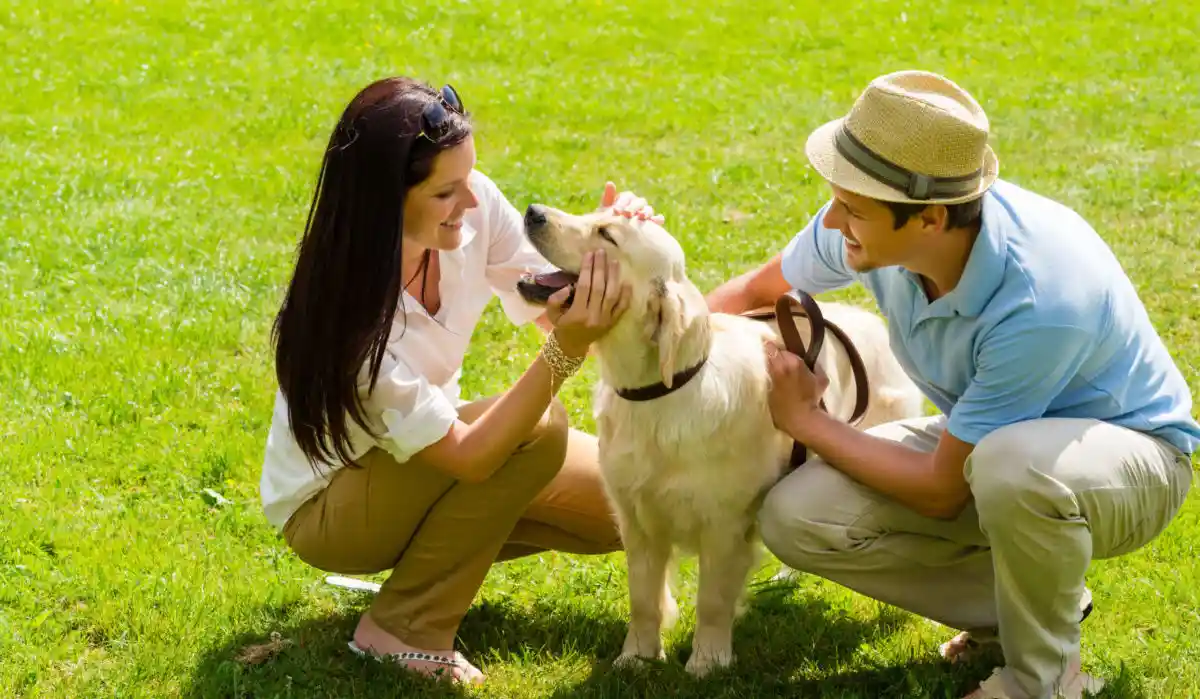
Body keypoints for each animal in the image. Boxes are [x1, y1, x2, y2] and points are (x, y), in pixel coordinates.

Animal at [518, 200, 926, 677]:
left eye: (606, 234)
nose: (533, 211)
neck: (661, 393)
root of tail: (869, 319)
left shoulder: (724, 524)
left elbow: (712, 600)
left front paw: (707, 661)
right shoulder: (636, 519)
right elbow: (643, 598)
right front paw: (636, 656)